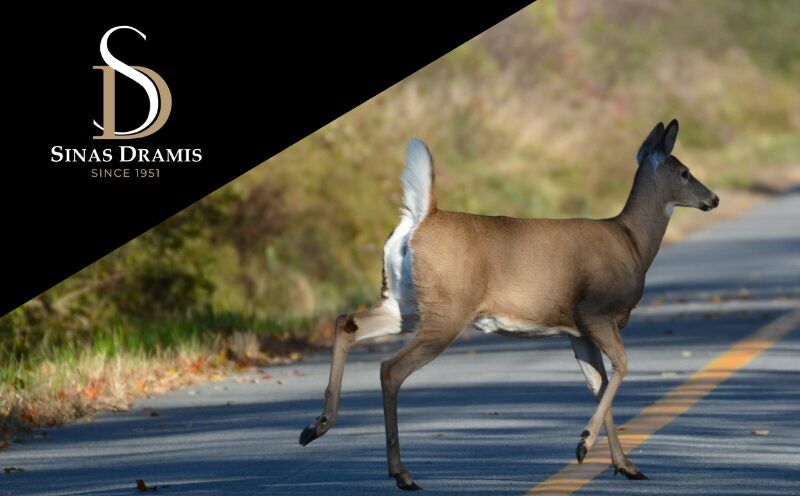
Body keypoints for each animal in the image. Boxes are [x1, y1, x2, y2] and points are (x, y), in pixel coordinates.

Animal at [299, 119, 719, 490]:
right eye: (684, 172)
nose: (713, 198)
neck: (632, 241)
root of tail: (422, 218)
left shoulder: (576, 330)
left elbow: (598, 384)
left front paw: (625, 465)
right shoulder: (595, 311)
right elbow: (622, 368)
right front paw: (584, 445)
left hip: (404, 304)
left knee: (346, 322)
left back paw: (316, 426)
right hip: (446, 310)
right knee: (391, 368)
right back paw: (401, 474)